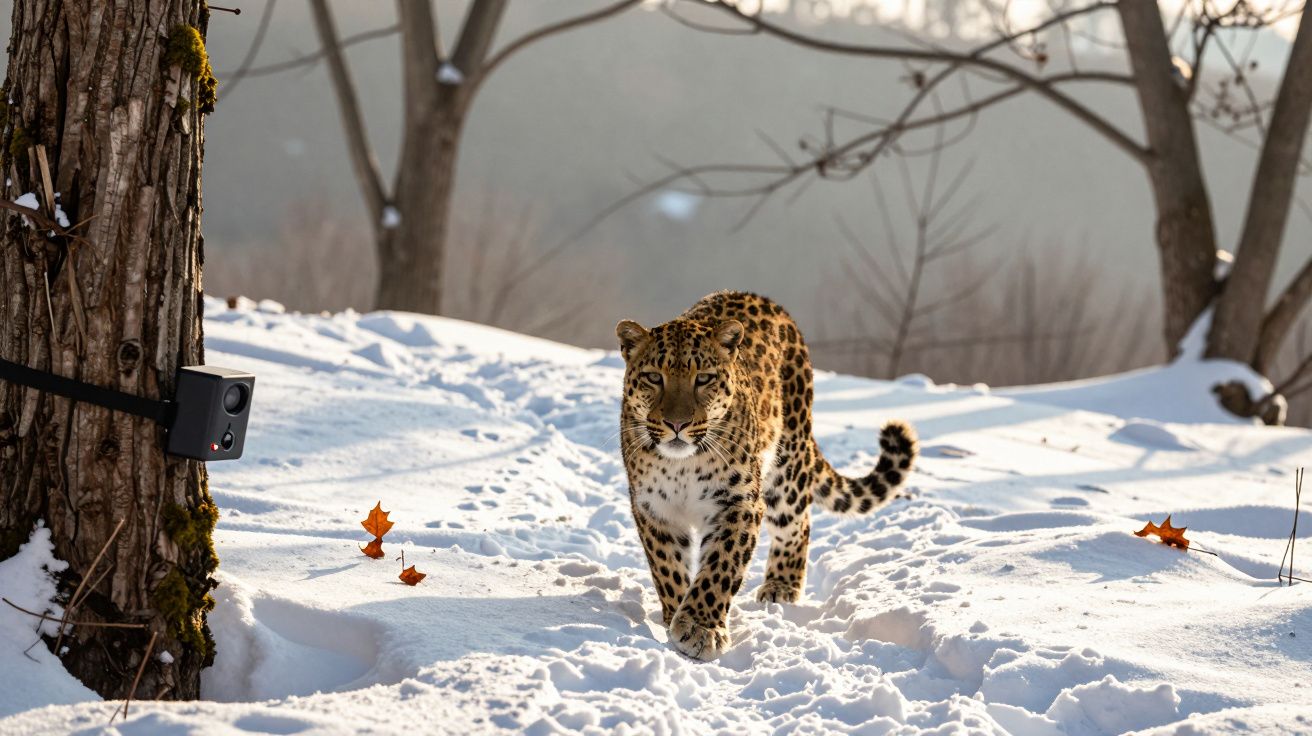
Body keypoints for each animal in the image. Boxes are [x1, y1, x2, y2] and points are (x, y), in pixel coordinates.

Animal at [616, 290, 918, 661]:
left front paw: (701, 627)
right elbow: (668, 569)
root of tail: (762, 299)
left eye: (703, 378)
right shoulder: (654, 509)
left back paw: (781, 586)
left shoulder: (739, 503)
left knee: (798, 524)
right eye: (654, 377)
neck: (681, 464)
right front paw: (677, 616)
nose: (677, 424)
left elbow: (720, 567)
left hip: (786, 470)